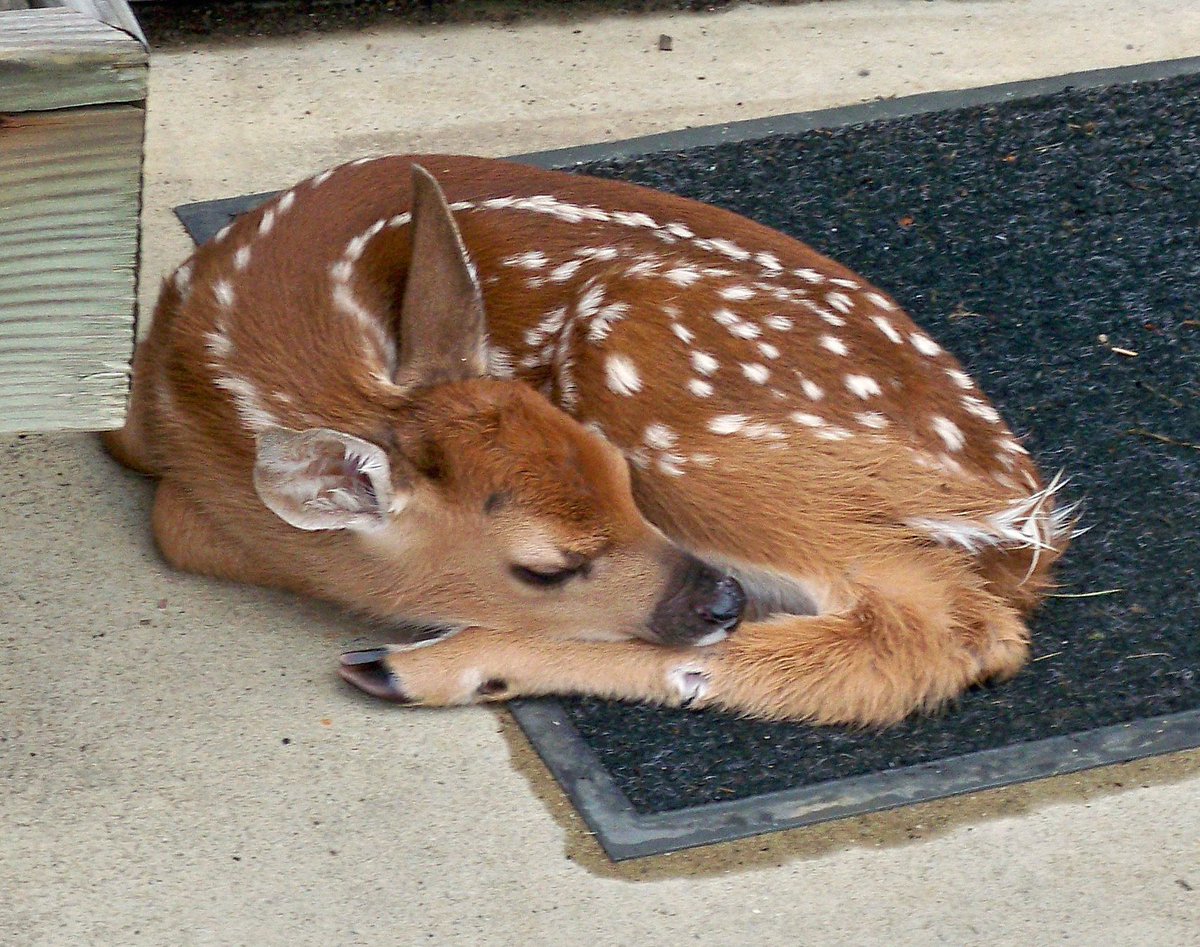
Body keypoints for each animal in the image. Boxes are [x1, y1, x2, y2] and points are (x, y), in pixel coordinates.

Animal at [103, 154, 1075, 726]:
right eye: (544, 565)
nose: (720, 600)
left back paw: (423, 666)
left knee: (935, 625)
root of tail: (1023, 517)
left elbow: (177, 525)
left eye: (621, 478)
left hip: (658, 376)